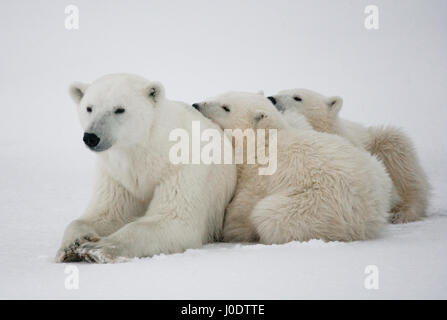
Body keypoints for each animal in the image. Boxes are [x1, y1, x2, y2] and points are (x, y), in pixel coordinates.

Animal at [56, 74, 238, 262]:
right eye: (89, 108)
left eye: (119, 109)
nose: (91, 137)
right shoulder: (118, 176)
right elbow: (106, 214)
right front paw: (73, 245)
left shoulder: (180, 168)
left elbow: (173, 220)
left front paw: (97, 248)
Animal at [192, 91, 392, 244]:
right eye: (220, 96)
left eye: (226, 107)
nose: (196, 105)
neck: (263, 139)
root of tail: (366, 217)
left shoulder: (260, 171)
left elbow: (244, 204)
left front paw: (231, 230)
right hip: (377, 171)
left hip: (313, 205)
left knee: (270, 215)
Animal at [268, 87, 432, 222]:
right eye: (279, 91)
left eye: (297, 97)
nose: (271, 98)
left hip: (379, 140)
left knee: (402, 161)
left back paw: (403, 213)